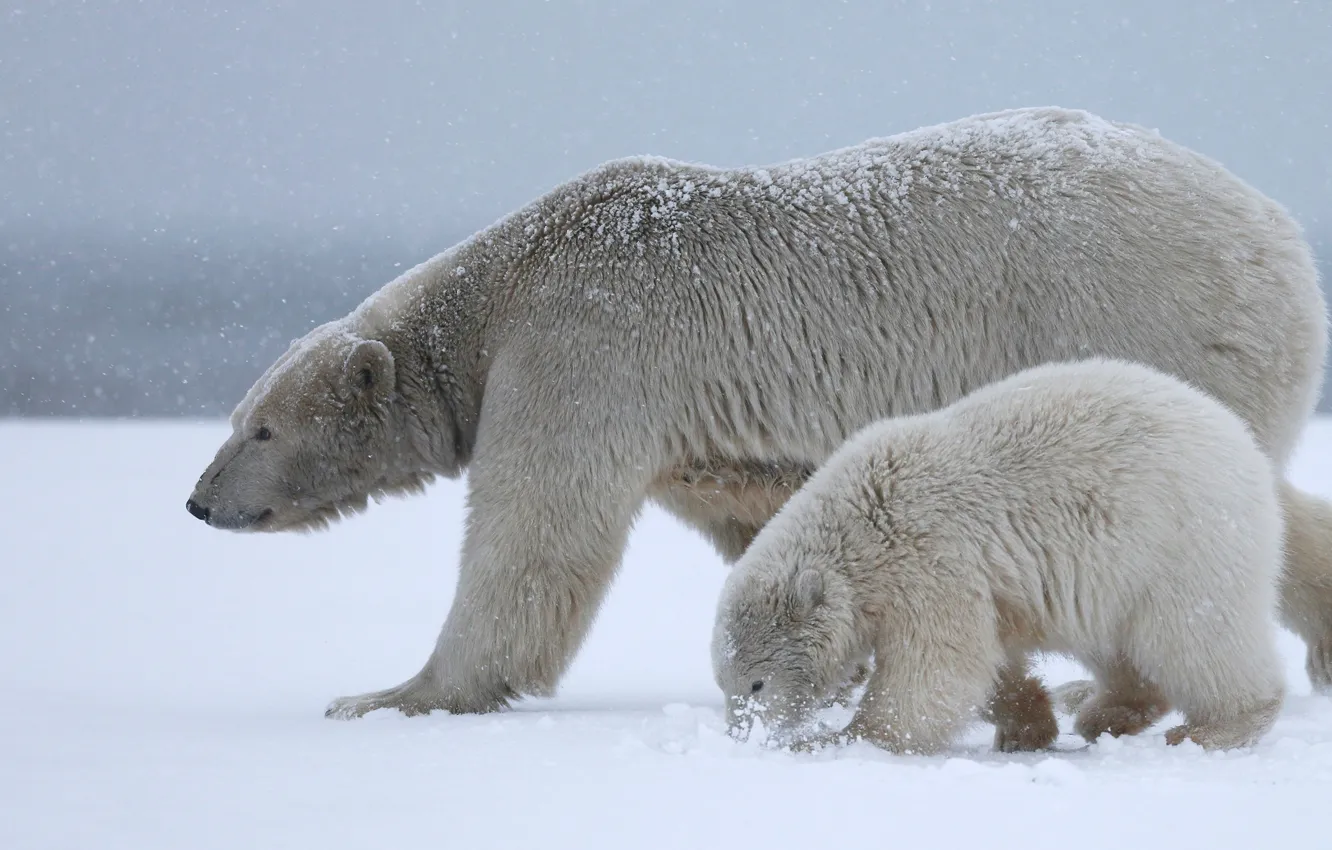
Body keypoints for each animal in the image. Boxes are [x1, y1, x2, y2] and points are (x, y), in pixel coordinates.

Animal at [712, 358, 1287, 755]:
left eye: (755, 683)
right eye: (723, 684)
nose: (741, 735)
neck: (863, 516)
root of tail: (1245, 446)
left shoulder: (929, 557)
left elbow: (937, 667)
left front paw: (836, 739)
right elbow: (987, 659)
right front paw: (1026, 725)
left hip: (1182, 543)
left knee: (1195, 637)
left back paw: (1213, 728)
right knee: (1117, 644)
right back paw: (1104, 713)